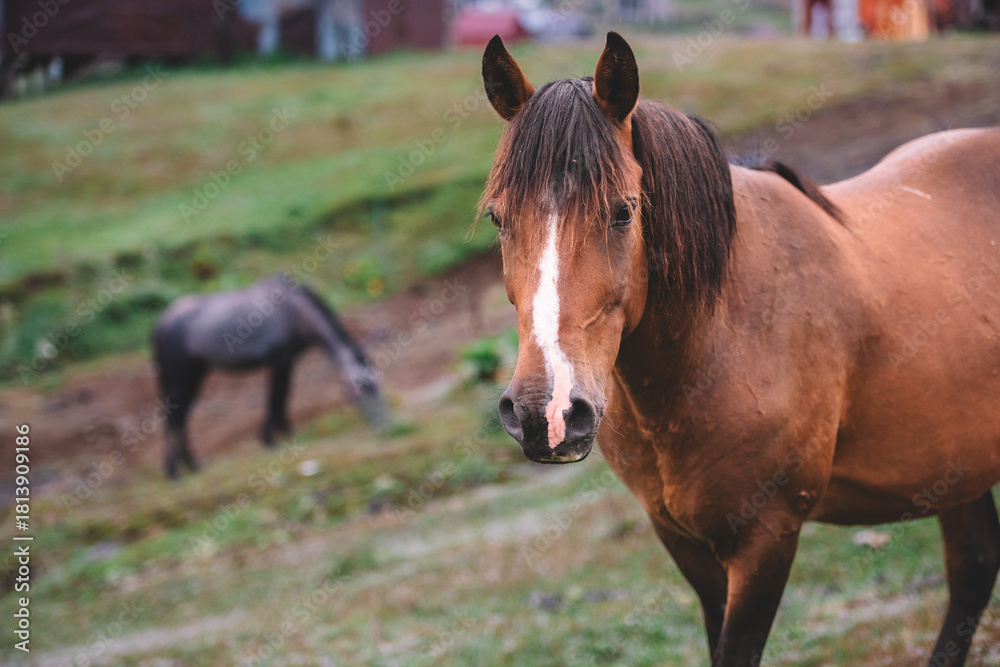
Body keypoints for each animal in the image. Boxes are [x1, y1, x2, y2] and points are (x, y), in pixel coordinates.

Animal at [152, 276, 384, 478]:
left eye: (377, 386)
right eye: (364, 388)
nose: (384, 424)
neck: (296, 310)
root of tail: (160, 324)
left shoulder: (288, 362)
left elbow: (282, 397)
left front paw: (284, 432)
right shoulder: (280, 361)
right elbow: (276, 397)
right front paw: (271, 439)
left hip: (196, 373)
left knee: (182, 415)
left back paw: (192, 465)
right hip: (182, 375)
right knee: (174, 417)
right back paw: (174, 472)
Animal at [481, 32, 1000, 666]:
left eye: (624, 211)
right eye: (498, 218)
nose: (547, 414)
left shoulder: (764, 541)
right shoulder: (686, 544)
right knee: (974, 567)